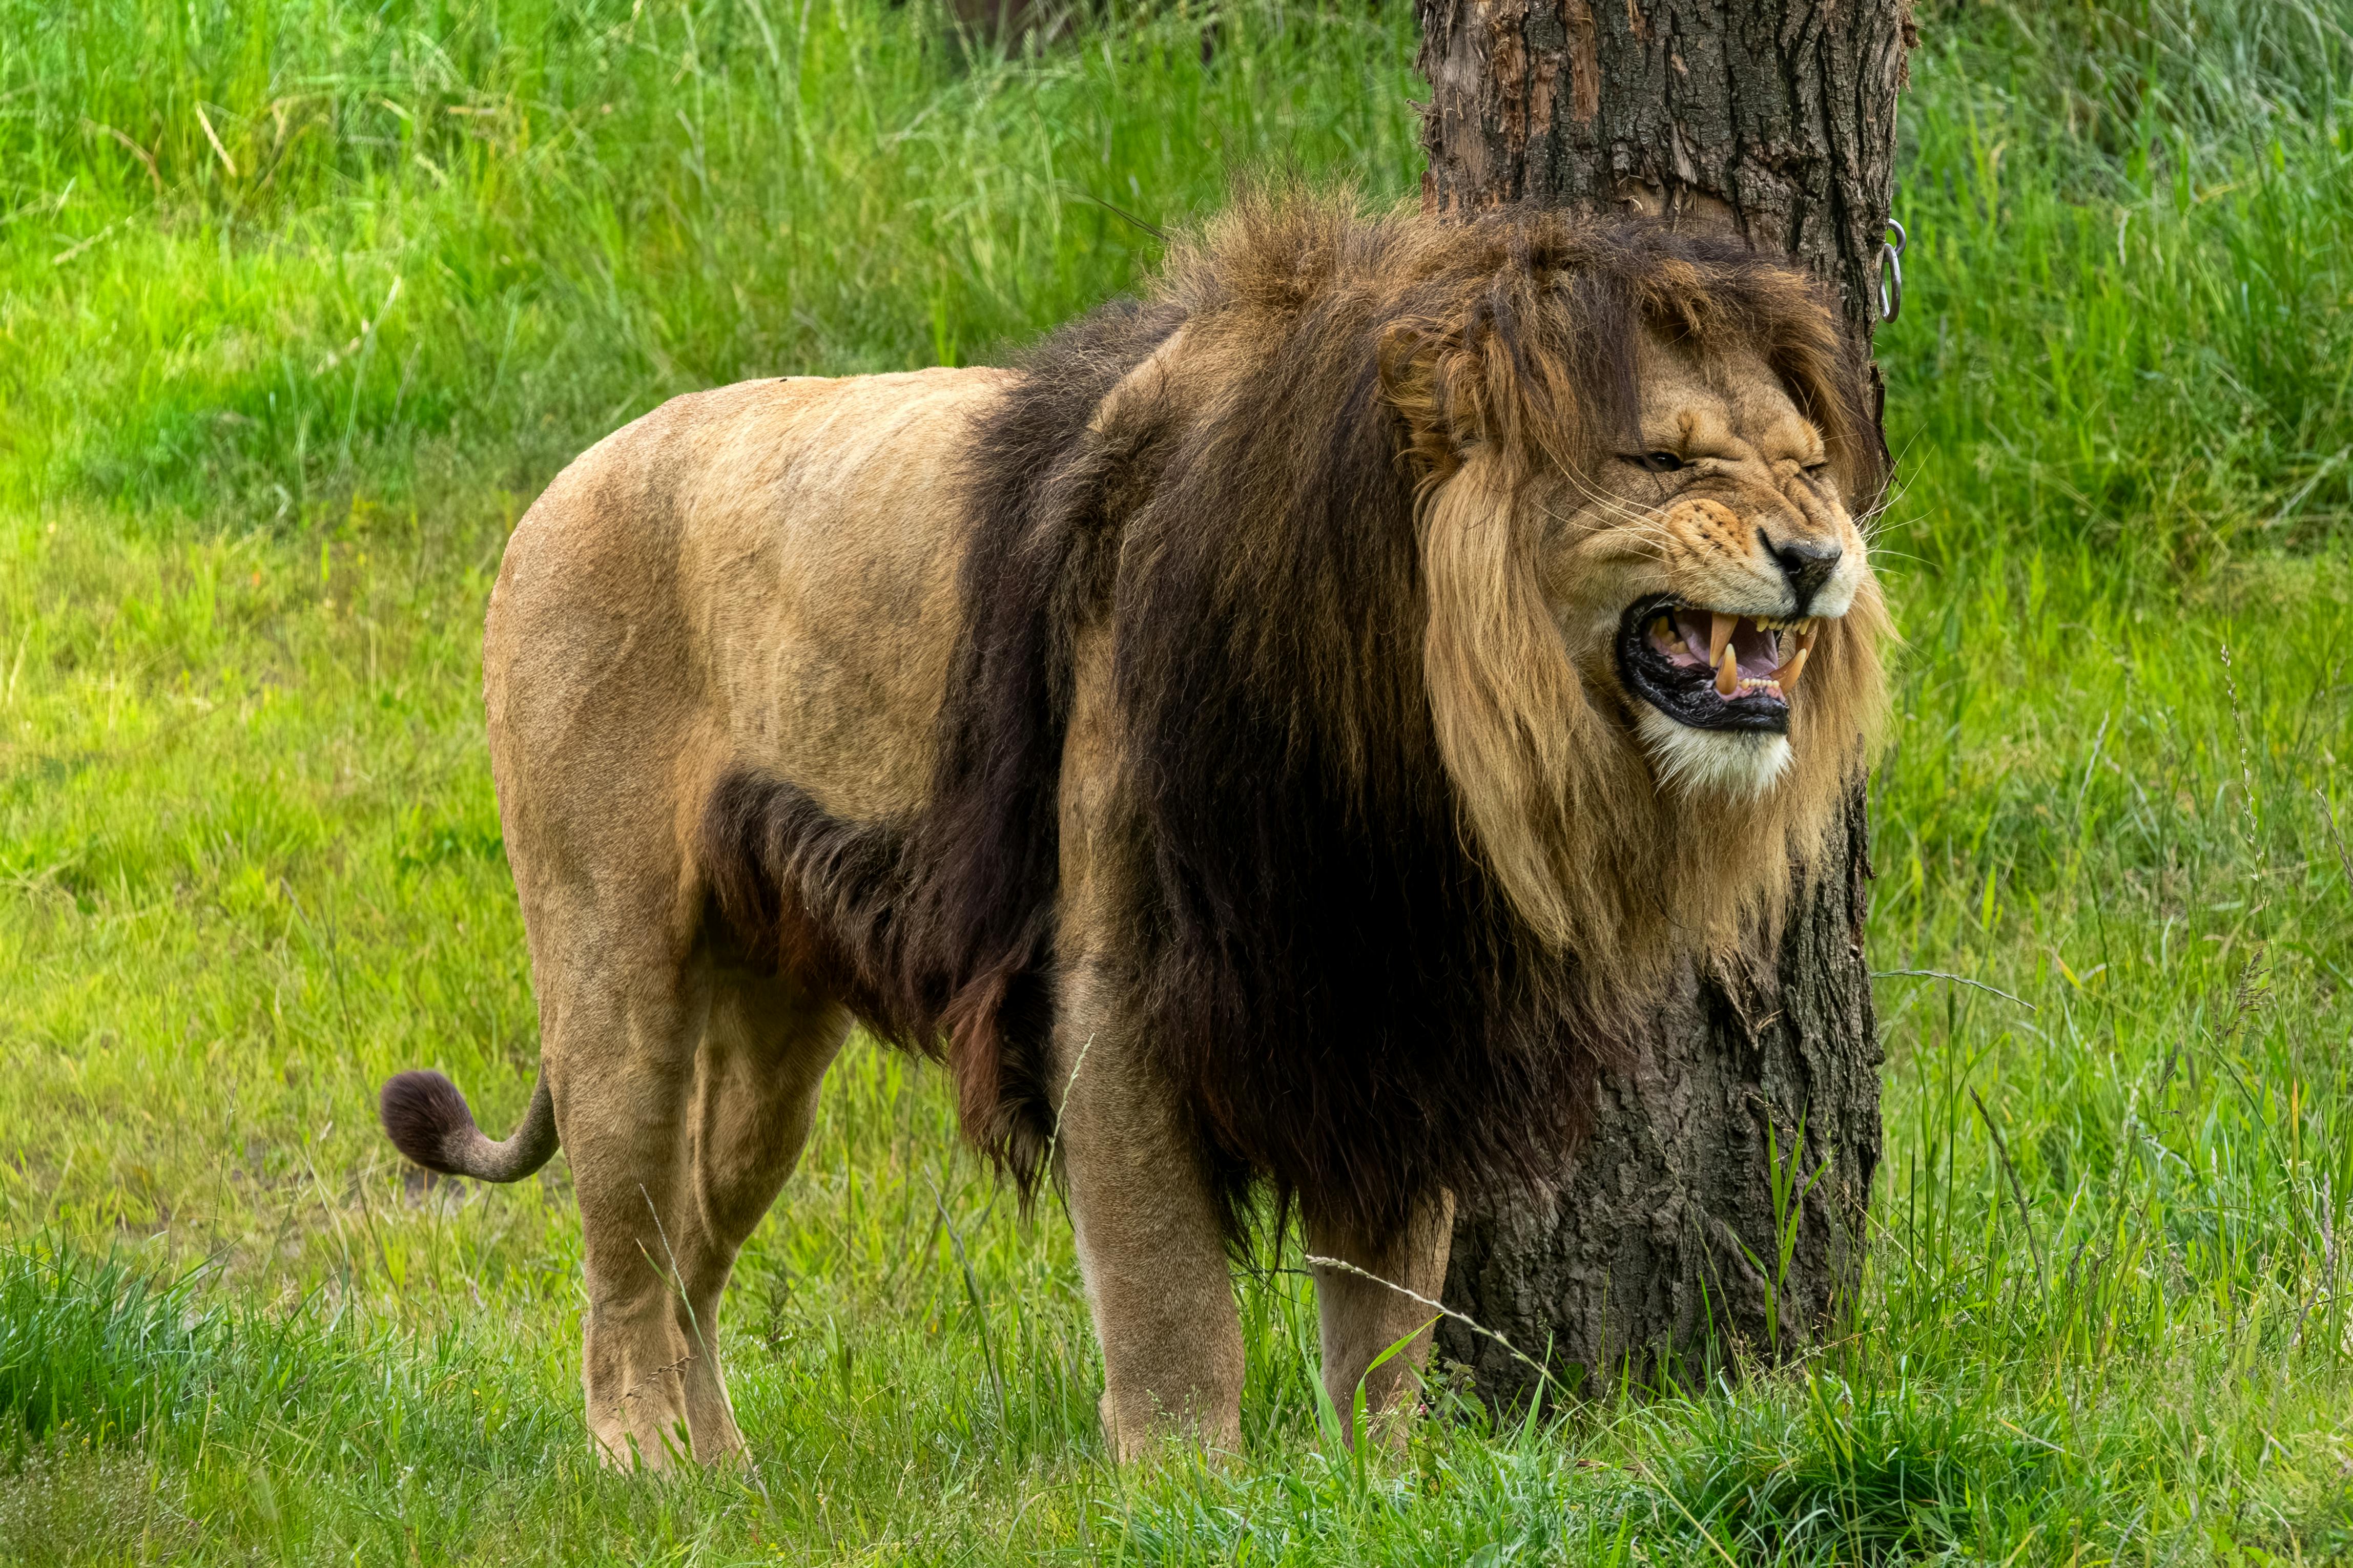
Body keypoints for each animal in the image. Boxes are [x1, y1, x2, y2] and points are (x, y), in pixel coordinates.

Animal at [378, 194, 1889, 1469]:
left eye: (1810, 467)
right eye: (1662, 458)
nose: (1820, 557)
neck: (1416, 727)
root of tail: (553, 490)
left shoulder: (1393, 1006)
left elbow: (1387, 1315)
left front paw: (1384, 1488)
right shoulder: (1118, 990)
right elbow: (1174, 1306)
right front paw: (1189, 1496)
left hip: (770, 1052)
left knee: (693, 1243)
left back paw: (726, 1483)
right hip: (613, 971)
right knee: (622, 1254)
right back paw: (641, 1464)